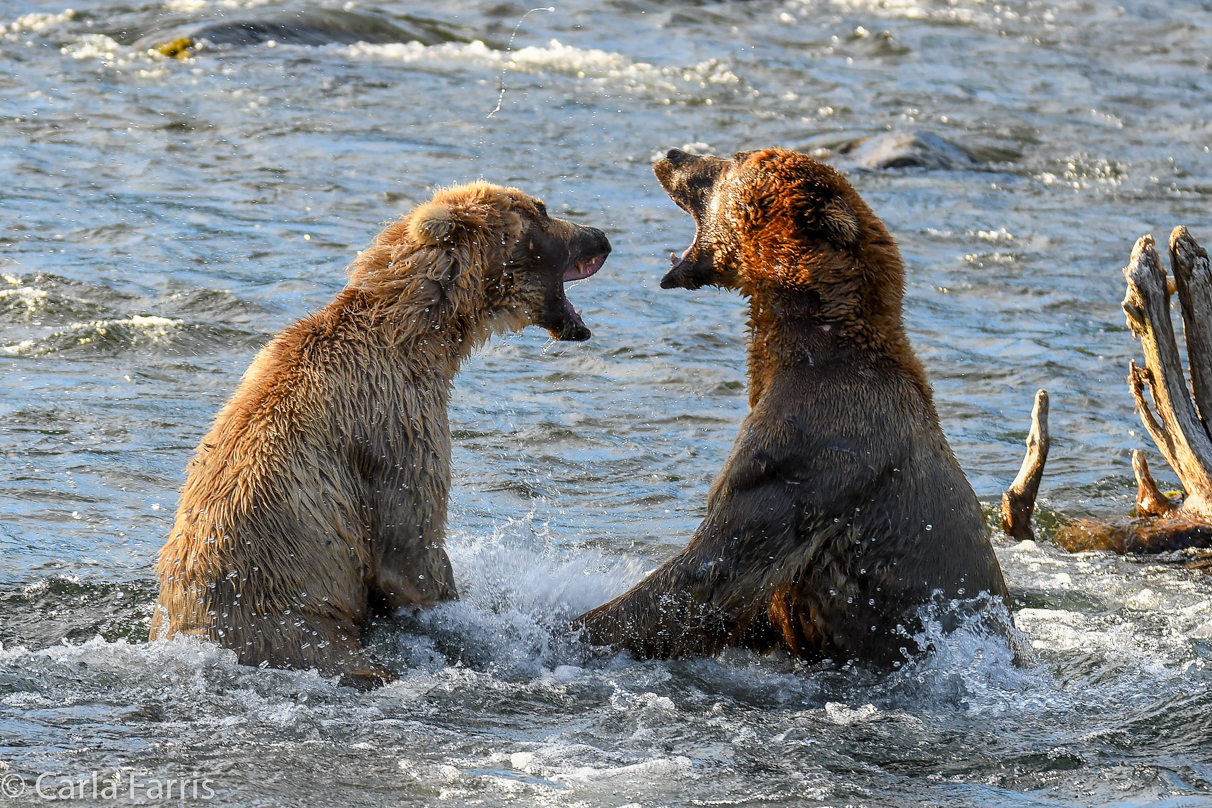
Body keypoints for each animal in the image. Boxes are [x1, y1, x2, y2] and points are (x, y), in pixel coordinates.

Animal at [149, 180, 615, 688]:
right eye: (541, 210)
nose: (602, 237)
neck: (420, 335)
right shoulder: (394, 423)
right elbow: (411, 547)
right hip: (295, 630)